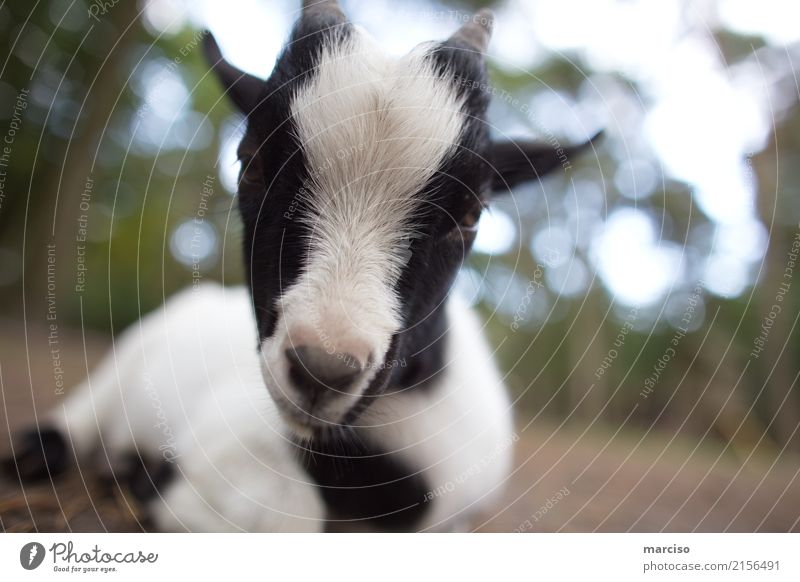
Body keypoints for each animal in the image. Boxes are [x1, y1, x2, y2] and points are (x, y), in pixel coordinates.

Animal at [3, 0, 592, 532]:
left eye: (471, 213)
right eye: (251, 162)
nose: (322, 368)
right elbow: (274, 511)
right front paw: (148, 481)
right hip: (117, 371)